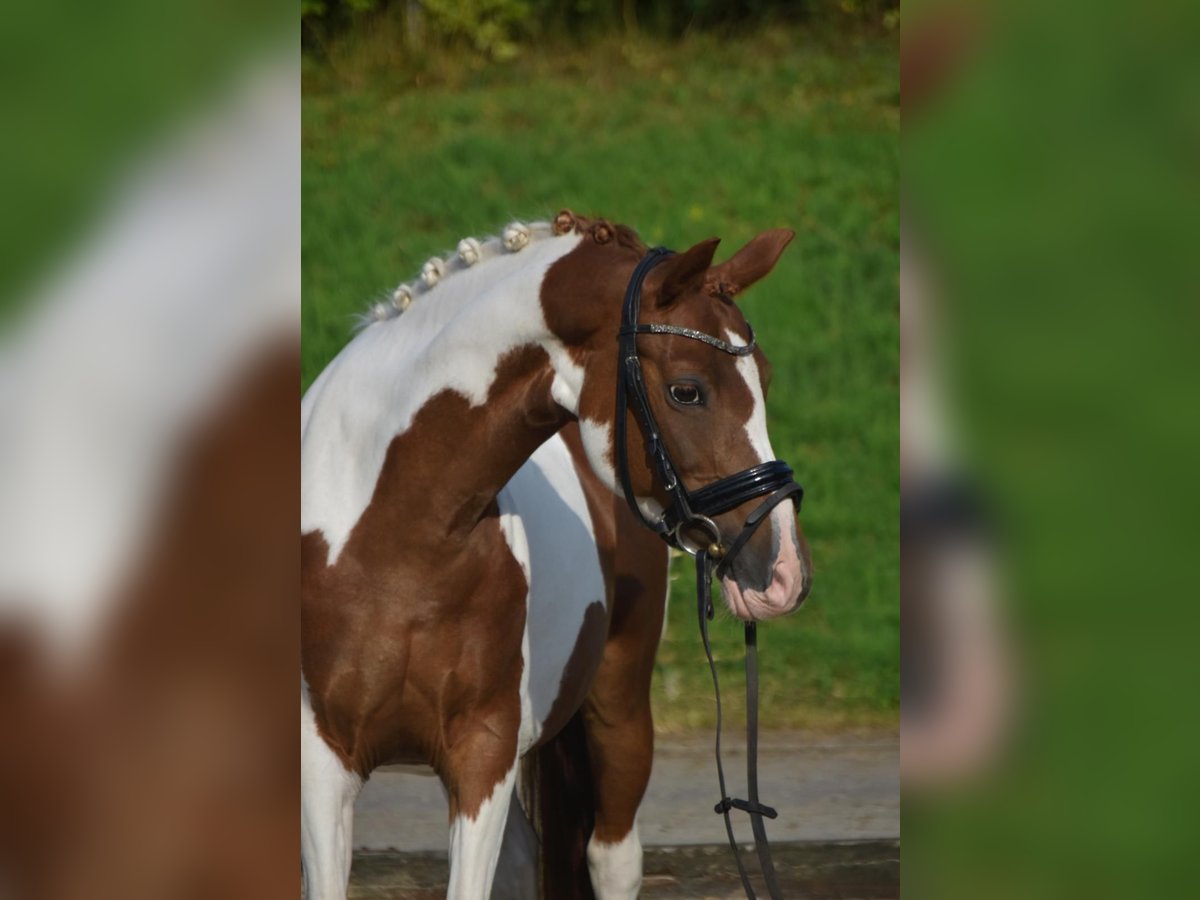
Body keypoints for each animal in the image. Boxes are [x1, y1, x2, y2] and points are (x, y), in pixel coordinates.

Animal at [297, 213, 816, 900]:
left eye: (767, 376)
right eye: (687, 391)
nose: (783, 571)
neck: (390, 540)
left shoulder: (482, 752)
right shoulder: (321, 764)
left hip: (618, 711)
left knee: (612, 856)